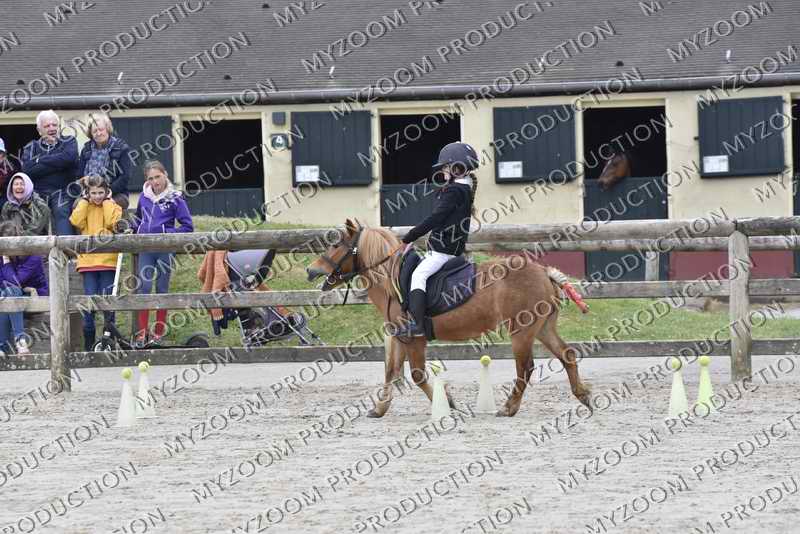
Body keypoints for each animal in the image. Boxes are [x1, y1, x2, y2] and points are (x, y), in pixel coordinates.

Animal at [306, 219, 592, 418]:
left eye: (336, 245)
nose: (310, 270)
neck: (391, 278)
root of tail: (544, 271)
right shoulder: (398, 336)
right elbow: (391, 372)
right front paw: (379, 409)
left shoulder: (415, 338)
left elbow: (417, 375)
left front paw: (448, 404)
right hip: (542, 328)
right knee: (566, 354)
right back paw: (583, 396)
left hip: (521, 332)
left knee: (525, 368)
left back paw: (509, 408)